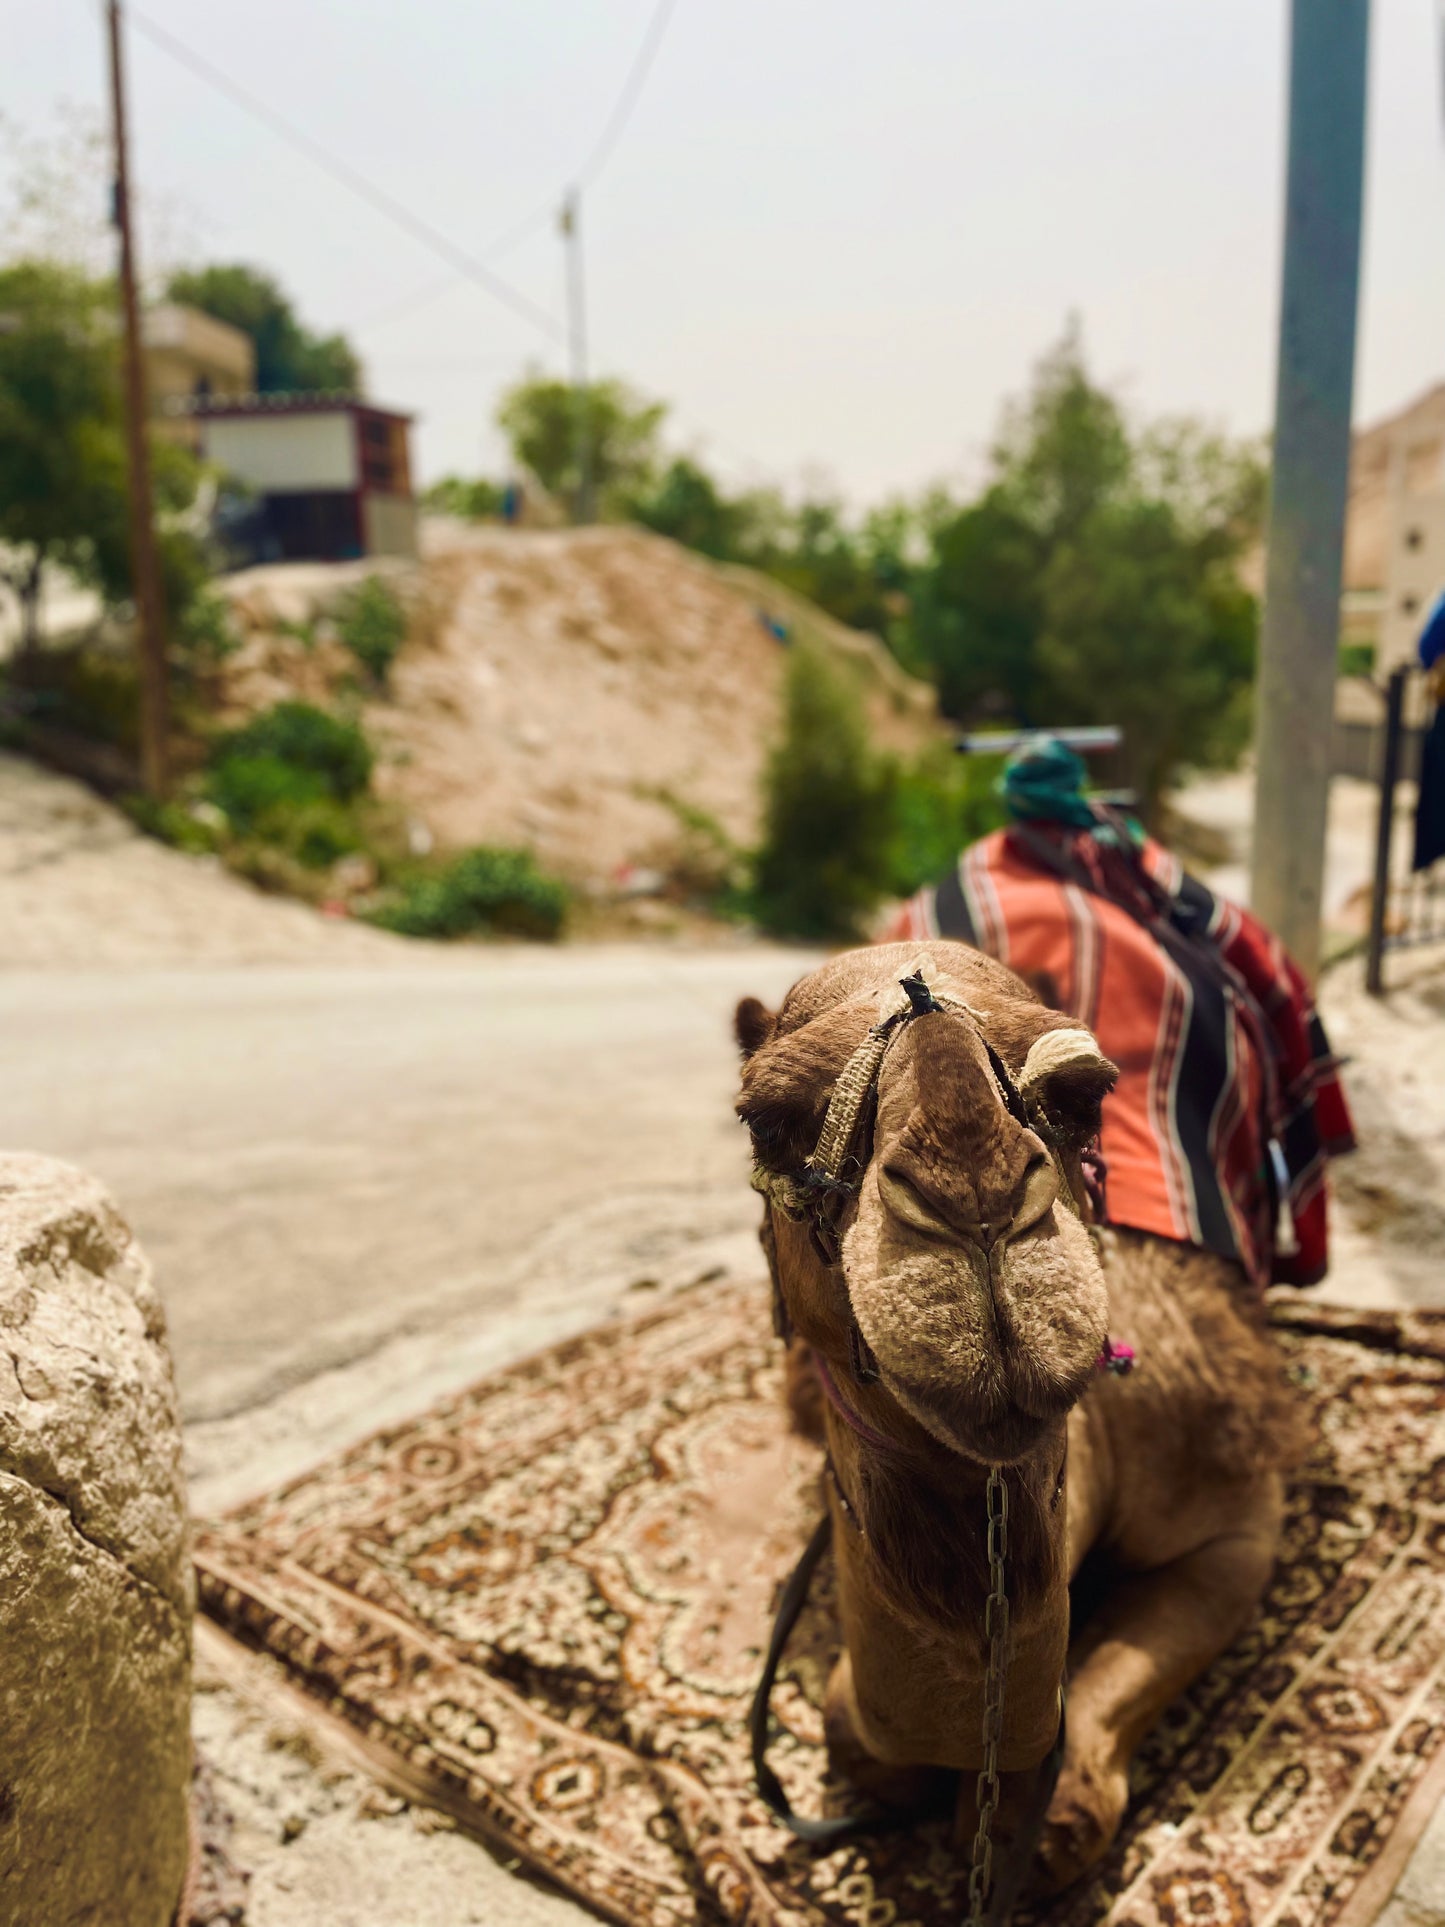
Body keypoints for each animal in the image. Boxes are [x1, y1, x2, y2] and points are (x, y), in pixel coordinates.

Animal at [735, 940, 1302, 1903]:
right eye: (763, 1121)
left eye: (1084, 1093)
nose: (974, 1191)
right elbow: (856, 1733)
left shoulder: (1234, 1522)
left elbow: (1102, 1702)